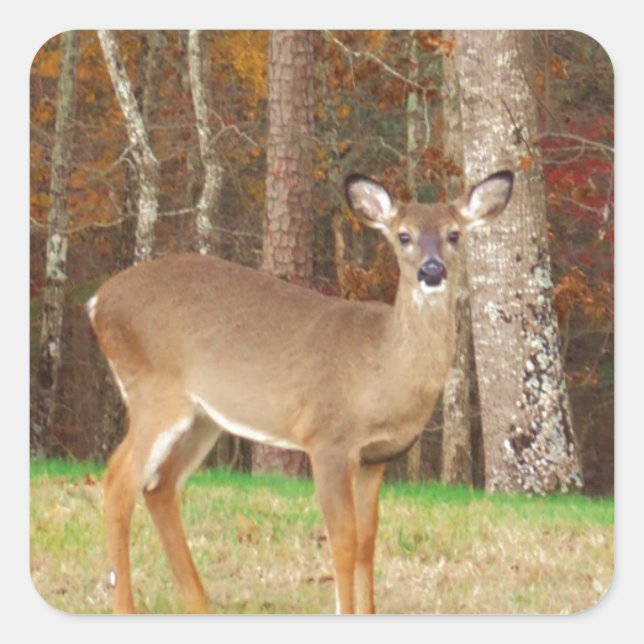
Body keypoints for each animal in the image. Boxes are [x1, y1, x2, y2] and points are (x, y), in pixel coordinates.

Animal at [88, 170, 513, 614]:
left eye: (454, 234)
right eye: (404, 236)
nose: (432, 271)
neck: (381, 371)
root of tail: (97, 301)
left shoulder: (375, 457)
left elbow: (367, 543)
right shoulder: (327, 439)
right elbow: (343, 542)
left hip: (203, 418)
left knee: (159, 486)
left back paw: (199, 605)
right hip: (154, 392)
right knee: (119, 481)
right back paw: (125, 608)